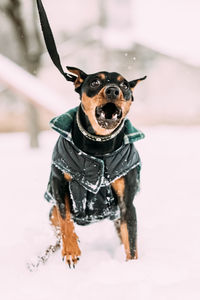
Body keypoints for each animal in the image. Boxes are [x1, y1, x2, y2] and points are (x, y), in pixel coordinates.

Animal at [35, 0, 145, 268]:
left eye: (125, 84)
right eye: (95, 82)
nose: (114, 90)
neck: (99, 145)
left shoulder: (126, 202)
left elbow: (131, 242)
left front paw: (133, 269)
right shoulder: (59, 183)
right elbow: (65, 220)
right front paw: (71, 250)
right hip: (50, 210)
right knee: (57, 225)